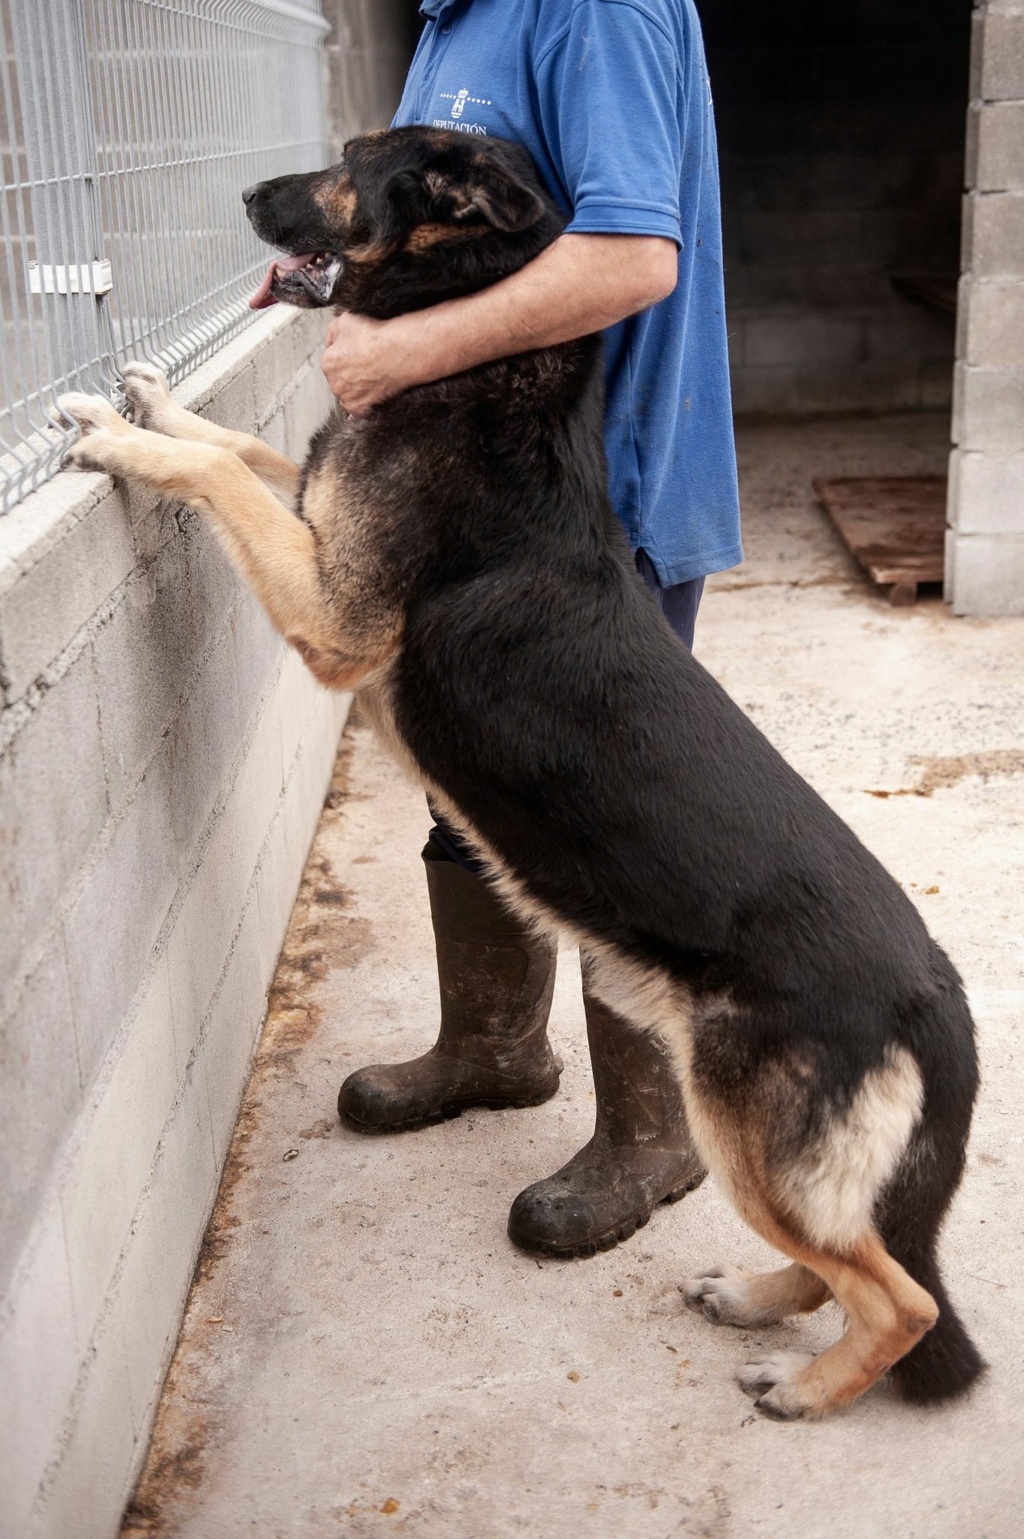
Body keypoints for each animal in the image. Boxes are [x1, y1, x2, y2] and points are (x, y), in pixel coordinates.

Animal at [57, 129, 985, 1415]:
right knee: (845, 1260)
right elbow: (242, 450)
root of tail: (935, 997)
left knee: (898, 1296)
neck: (474, 336)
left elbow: (231, 478)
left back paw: (805, 1387)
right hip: (764, 1143)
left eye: (349, 160)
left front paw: (119, 437)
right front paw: (148, 398)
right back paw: (752, 1302)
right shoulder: (317, 519)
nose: (243, 190)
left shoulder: (333, 613)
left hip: (744, 1127)